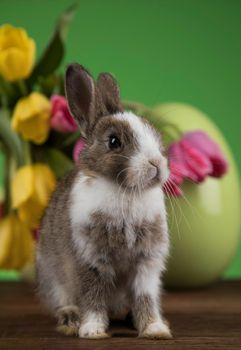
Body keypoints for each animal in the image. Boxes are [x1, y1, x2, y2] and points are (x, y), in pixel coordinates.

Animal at [36, 63, 171, 340]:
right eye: (113, 141)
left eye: (155, 135)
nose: (157, 164)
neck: (127, 192)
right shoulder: (90, 259)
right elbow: (94, 296)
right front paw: (92, 331)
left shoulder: (147, 264)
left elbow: (145, 297)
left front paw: (155, 329)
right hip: (52, 276)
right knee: (62, 299)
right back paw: (70, 319)